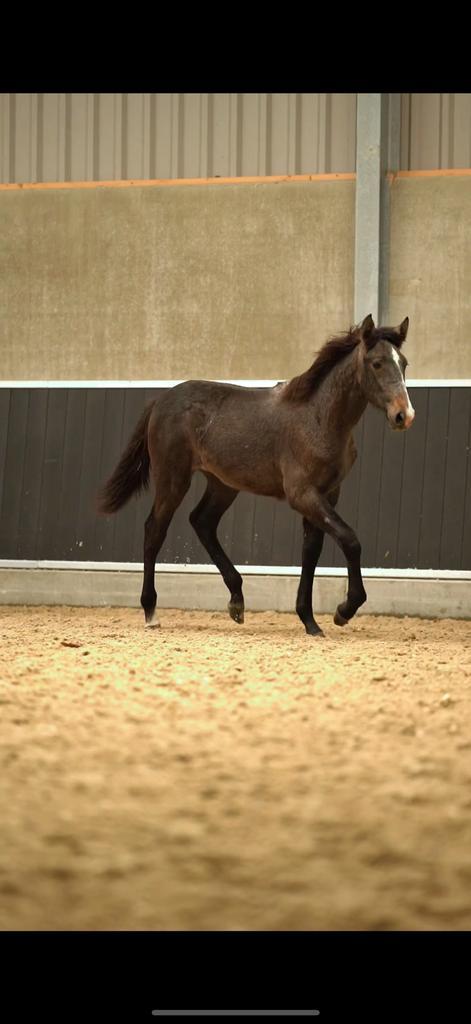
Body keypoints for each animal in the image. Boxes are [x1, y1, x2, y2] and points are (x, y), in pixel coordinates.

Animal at [97, 314, 415, 637]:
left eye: (403, 363)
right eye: (377, 363)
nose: (404, 415)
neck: (318, 417)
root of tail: (161, 400)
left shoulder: (326, 494)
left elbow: (312, 550)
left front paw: (310, 621)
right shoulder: (303, 495)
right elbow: (350, 540)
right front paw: (343, 611)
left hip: (222, 484)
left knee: (202, 522)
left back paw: (237, 602)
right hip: (173, 479)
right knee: (155, 530)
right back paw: (151, 612)